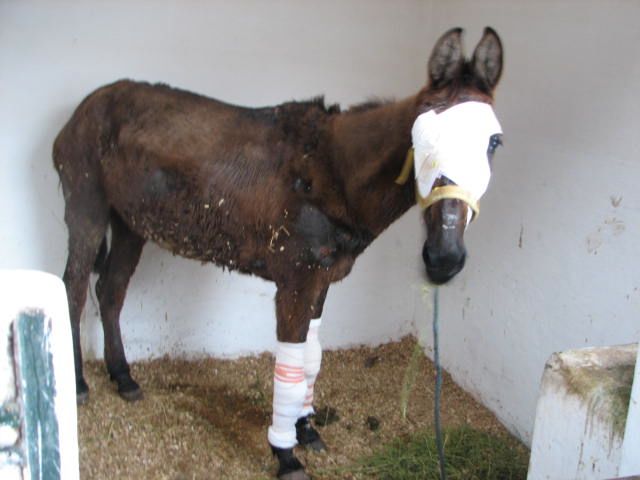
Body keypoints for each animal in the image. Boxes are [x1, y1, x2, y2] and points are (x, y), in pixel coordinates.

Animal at [53, 27, 504, 480]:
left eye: (494, 143)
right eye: (421, 135)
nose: (444, 259)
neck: (332, 173)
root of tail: (87, 105)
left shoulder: (323, 279)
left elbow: (309, 358)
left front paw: (306, 429)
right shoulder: (295, 281)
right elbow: (289, 364)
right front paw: (286, 453)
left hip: (130, 223)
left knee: (110, 290)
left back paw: (123, 377)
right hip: (88, 207)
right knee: (73, 287)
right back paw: (78, 383)